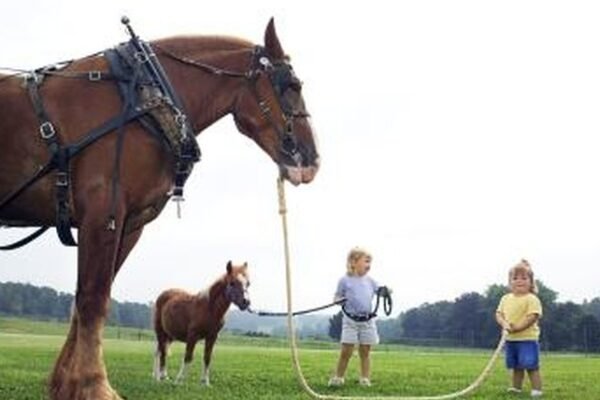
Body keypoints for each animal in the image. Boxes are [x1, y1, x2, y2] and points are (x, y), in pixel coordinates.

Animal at [0, 18, 318, 400]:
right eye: (293, 86)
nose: (312, 160)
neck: (142, 98)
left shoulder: (129, 225)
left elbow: (82, 301)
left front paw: (64, 383)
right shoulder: (104, 214)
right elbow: (93, 299)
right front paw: (94, 384)